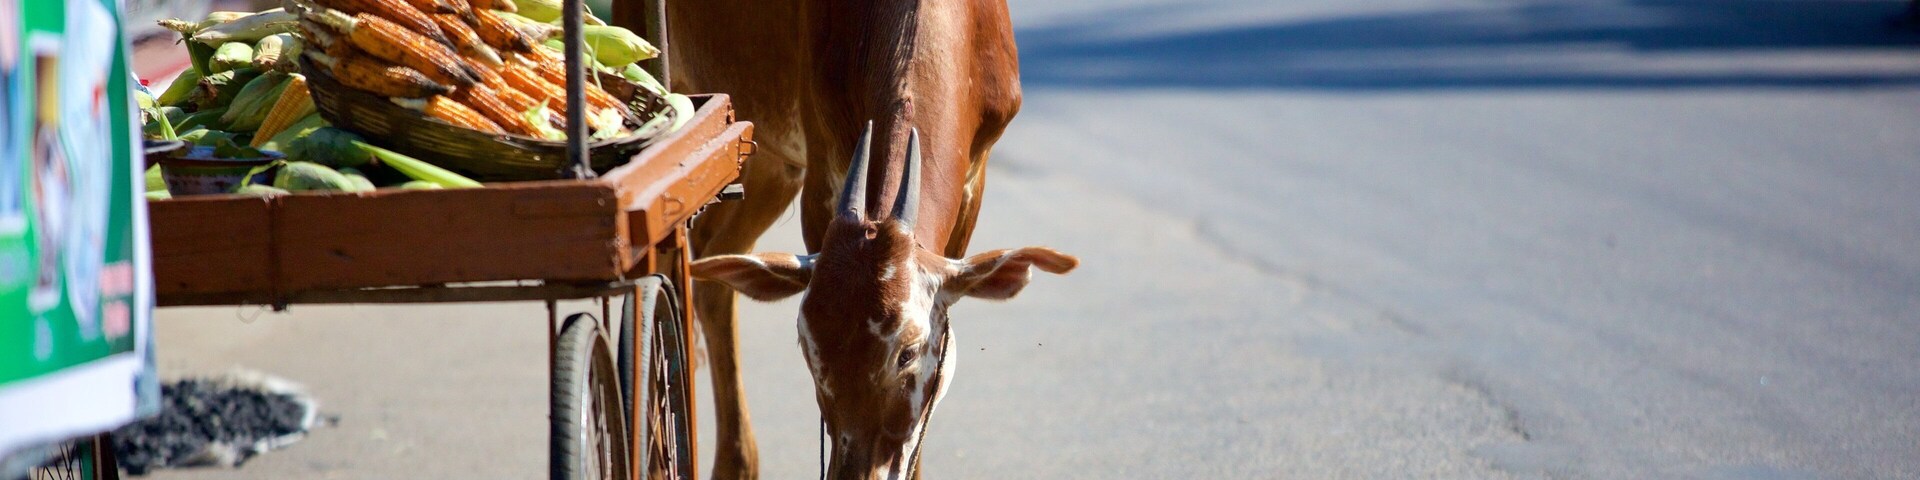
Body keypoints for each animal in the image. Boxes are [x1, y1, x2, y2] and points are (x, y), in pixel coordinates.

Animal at [656, 0, 1076, 478]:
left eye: (907, 352)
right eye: (806, 343)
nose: (856, 471)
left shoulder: (976, 174)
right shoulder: (823, 168)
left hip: (768, 163)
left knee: (712, 270)